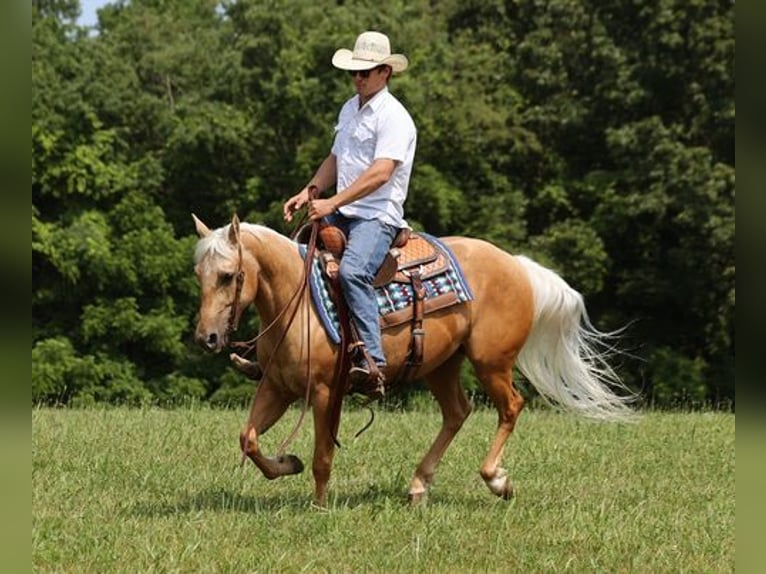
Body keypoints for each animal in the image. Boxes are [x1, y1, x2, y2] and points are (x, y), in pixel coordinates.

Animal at [194, 215, 636, 504]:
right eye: (200, 274)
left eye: (229, 276)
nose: (206, 338)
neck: (297, 301)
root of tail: (517, 265)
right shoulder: (277, 387)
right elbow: (249, 440)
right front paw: (288, 463)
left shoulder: (324, 392)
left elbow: (323, 456)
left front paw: (319, 505)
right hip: (442, 365)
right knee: (457, 412)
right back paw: (420, 484)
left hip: (491, 361)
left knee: (511, 406)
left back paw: (497, 480)